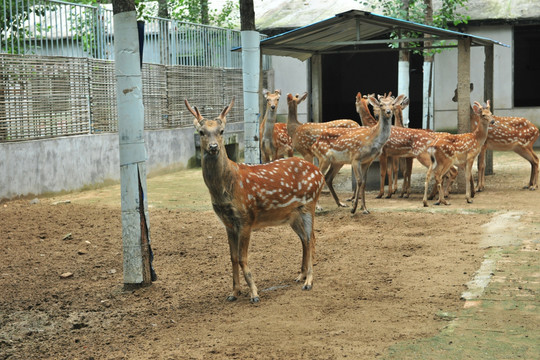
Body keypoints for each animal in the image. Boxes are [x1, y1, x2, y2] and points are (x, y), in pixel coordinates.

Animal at [185, 97, 324, 302]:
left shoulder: (246, 218)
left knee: (311, 239)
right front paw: (234, 293)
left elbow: (243, 258)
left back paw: (308, 282)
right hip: (293, 214)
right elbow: (233, 258)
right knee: (305, 240)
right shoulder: (228, 223)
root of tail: (319, 174)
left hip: (309, 204)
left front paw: (254, 293)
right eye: (201, 132)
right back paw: (301, 275)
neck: (227, 187)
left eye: (221, 131)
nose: (213, 147)